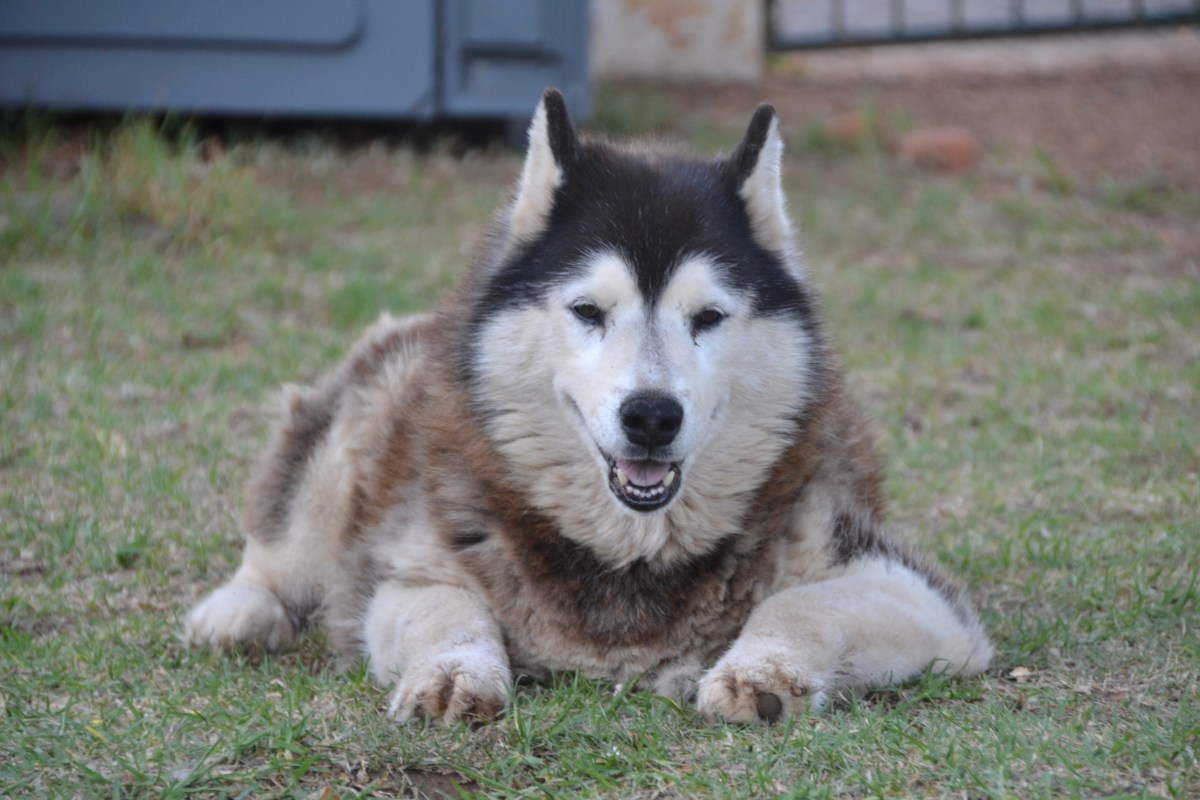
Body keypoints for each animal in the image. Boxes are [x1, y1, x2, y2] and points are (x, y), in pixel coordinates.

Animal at [184, 89, 993, 724]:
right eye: (588, 310)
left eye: (708, 317)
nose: (651, 416)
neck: (626, 554)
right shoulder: (403, 575)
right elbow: (450, 609)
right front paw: (455, 670)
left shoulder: (916, 595)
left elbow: (801, 603)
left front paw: (760, 667)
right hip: (359, 423)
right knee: (282, 545)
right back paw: (240, 612)